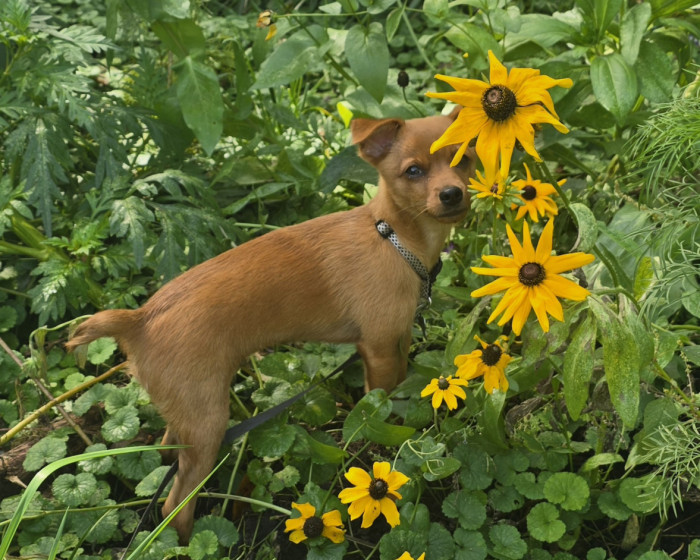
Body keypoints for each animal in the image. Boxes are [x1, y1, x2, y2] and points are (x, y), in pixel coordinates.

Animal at [66, 112, 475, 541]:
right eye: (413, 171)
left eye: (464, 159)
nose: (452, 194)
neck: (392, 237)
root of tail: (139, 318)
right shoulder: (377, 351)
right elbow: (381, 404)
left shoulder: (398, 338)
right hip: (208, 421)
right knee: (174, 506)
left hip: (186, 413)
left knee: (167, 450)